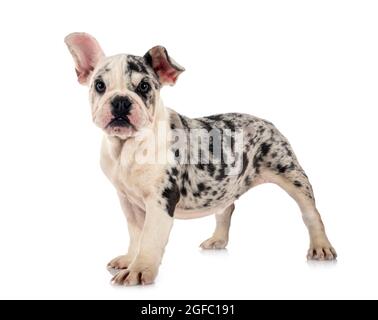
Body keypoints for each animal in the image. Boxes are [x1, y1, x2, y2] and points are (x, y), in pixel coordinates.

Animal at [64, 33, 336, 286]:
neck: (127, 146)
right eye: (99, 85)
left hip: (291, 173)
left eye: (144, 87)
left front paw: (139, 270)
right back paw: (217, 239)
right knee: (226, 209)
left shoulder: (161, 201)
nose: (120, 101)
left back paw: (321, 247)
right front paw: (129, 259)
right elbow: (135, 234)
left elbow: (149, 238)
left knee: (311, 213)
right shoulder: (127, 200)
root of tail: (267, 122)